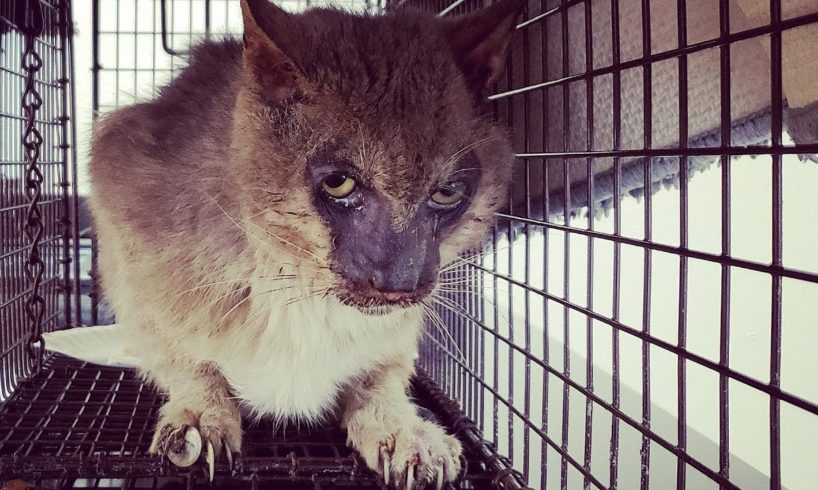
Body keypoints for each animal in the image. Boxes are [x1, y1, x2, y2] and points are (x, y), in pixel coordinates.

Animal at [89, 0, 520, 488]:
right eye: (338, 183)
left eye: (447, 193)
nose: (399, 285)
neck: (296, 289)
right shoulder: (141, 276)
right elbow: (188, 365)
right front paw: (199, 421)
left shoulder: (394, 336)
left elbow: (381, 380)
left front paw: (403, 431)